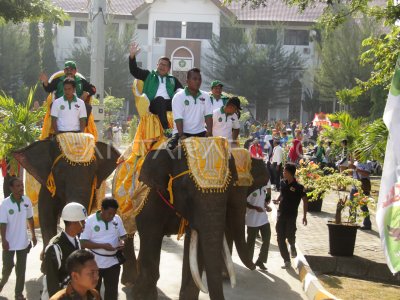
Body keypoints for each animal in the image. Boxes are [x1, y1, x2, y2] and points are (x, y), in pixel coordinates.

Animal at [133, 146, 270, 300]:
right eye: (185, 190)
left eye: (229, 189)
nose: (254, 266)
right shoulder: (150, 199)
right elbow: (151, 238)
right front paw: (140, 295)